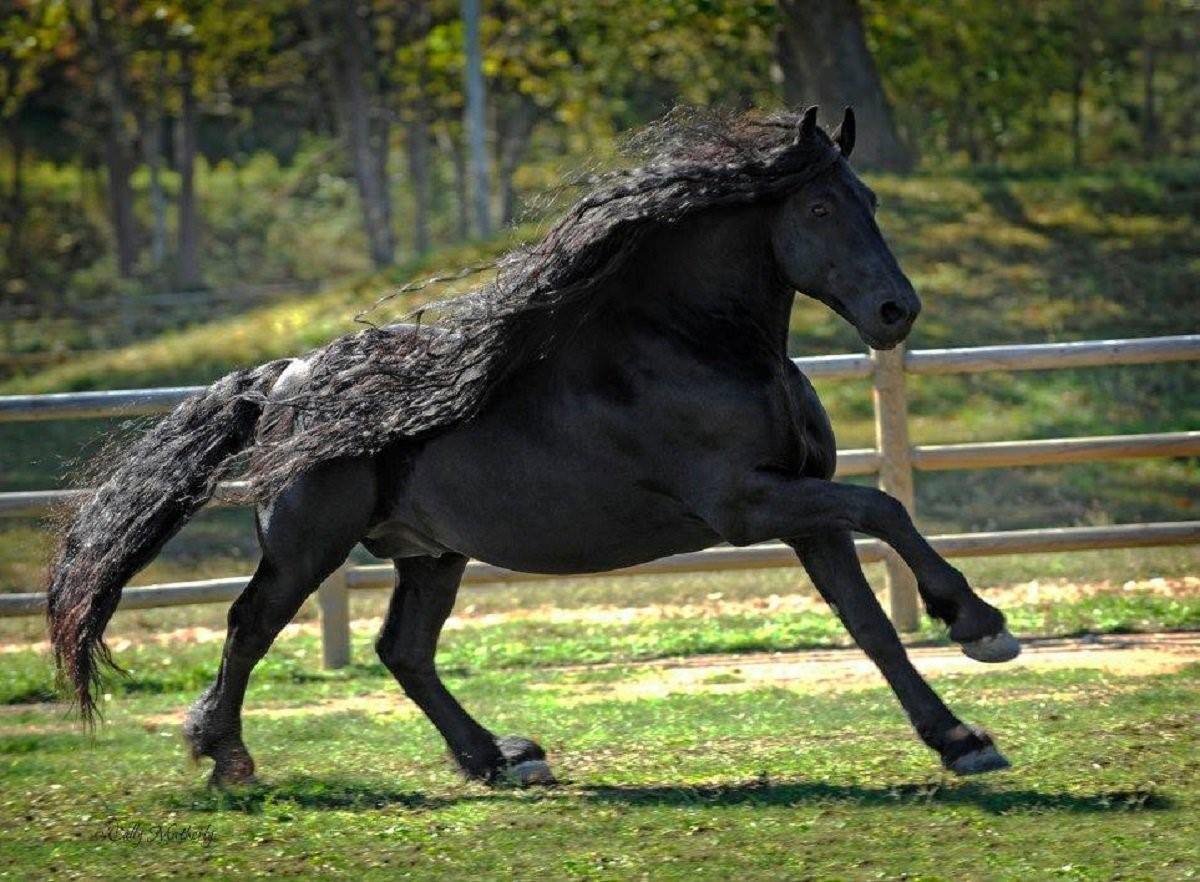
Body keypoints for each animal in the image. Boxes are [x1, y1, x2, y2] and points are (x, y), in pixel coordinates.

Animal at [51, 106, 1017, 792]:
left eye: (872, 202)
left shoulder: (802, 509)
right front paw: (979, 624)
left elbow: (869, 623)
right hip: (307, 546)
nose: (896, 312)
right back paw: (227, 758)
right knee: (250, 625)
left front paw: (961, 739)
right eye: (819, 205)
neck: (697, 345)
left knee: (403, 651)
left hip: (430, 554)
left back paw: (500, 759)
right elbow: (886, 507)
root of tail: (284, 378)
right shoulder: (750, 503)